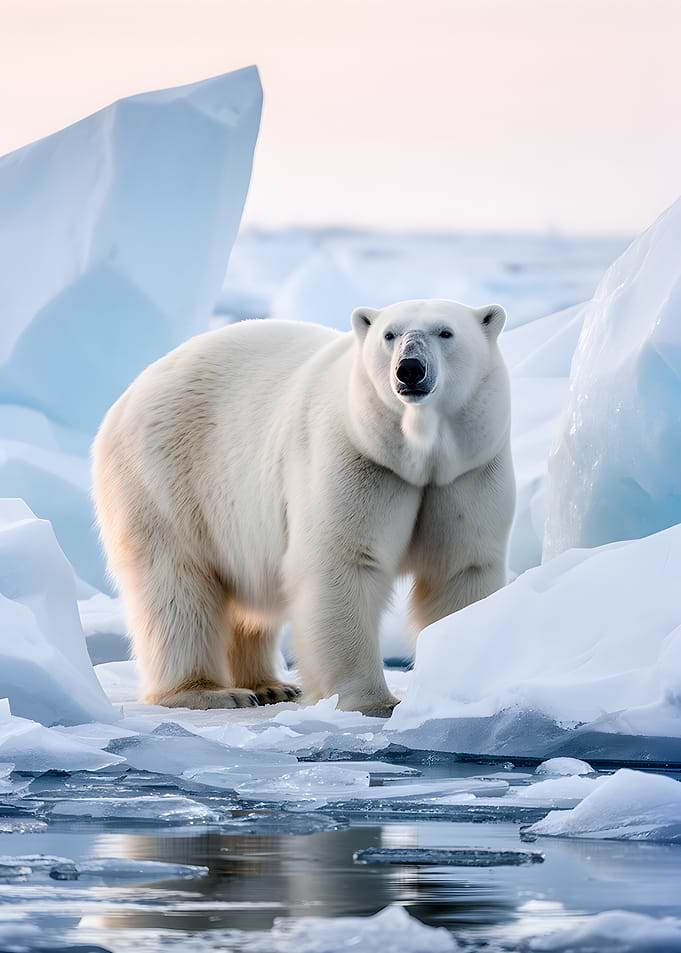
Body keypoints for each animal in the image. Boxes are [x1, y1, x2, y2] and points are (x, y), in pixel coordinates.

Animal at [92, 298, 515, 717]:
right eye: (389, 335)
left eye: (445, 332)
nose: (410, 369)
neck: (416, 455)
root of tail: (128, 395)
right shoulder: (357, 459)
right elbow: (342, 563)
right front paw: (373, 702)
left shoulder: (466, 474)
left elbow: (461, 568)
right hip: (166, 478)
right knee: (177, 587)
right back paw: (209, 692)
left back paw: (270, 686)